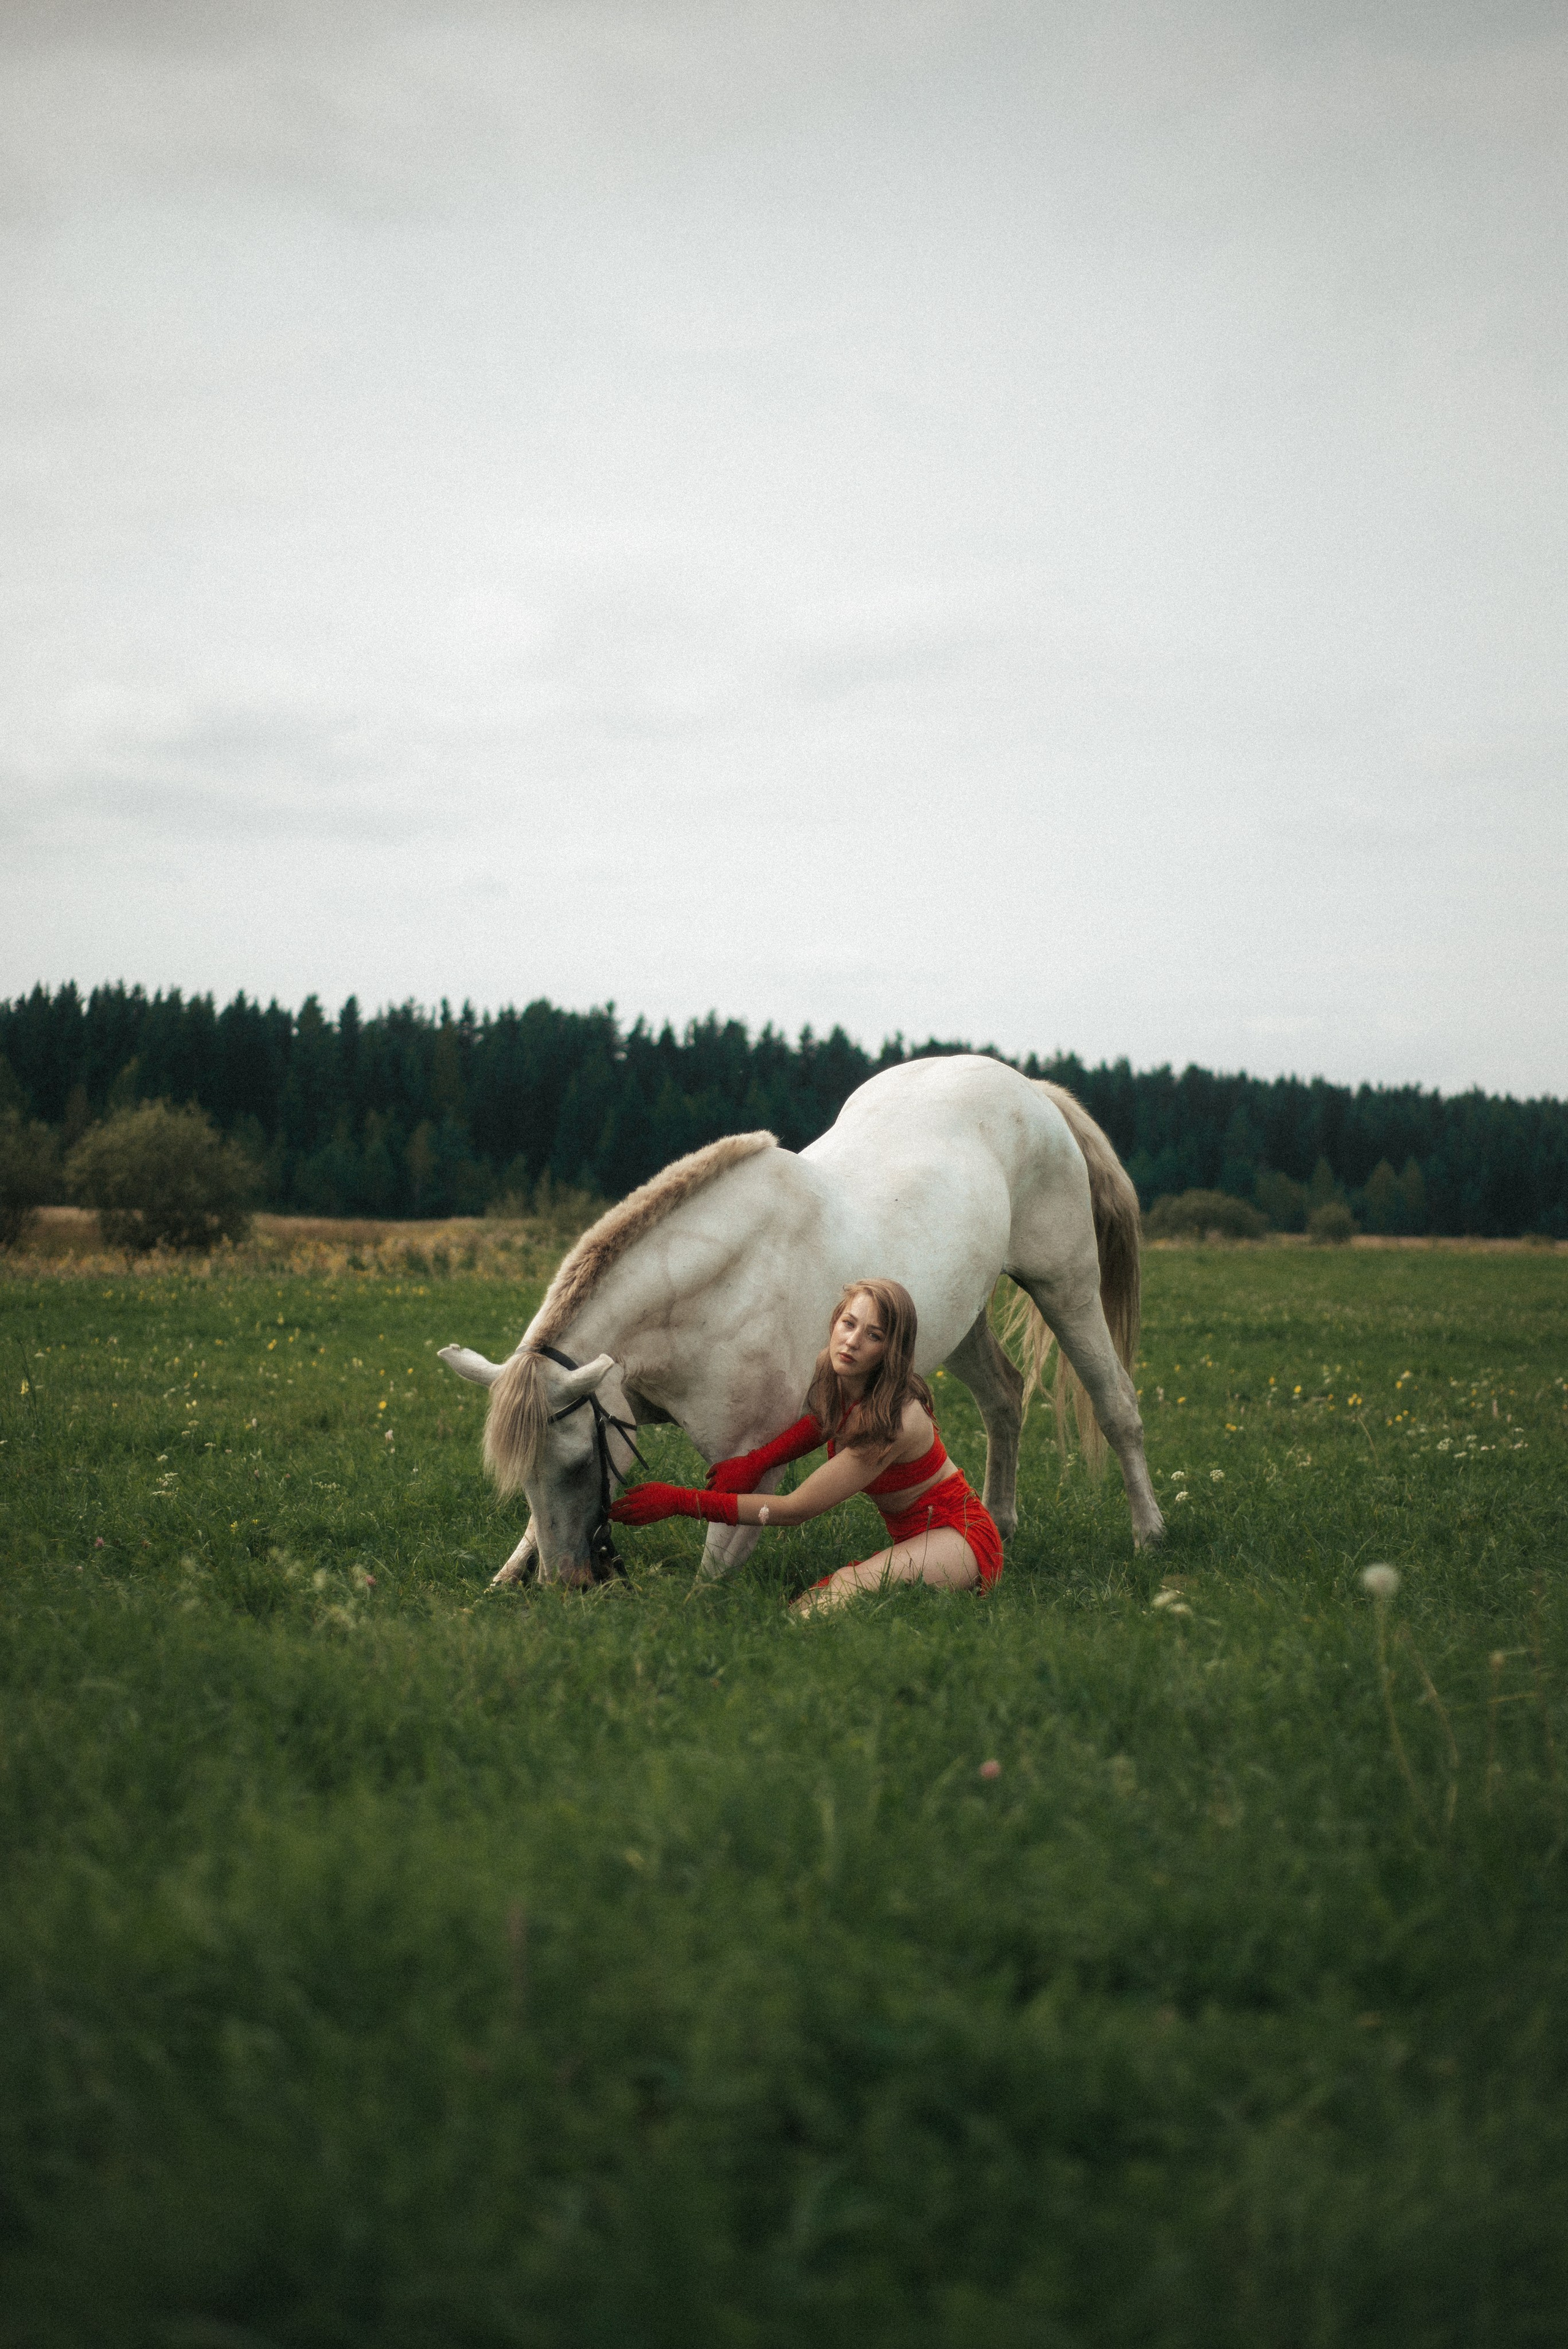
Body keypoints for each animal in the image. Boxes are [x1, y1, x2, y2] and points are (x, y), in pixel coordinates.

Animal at [438, 1053, 1164, 1585]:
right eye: (522, 1475)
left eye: (575, 1465)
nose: (568, 1583)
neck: (713, 1292)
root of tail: (1029, 1087)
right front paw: (505, 1580)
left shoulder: (751, 1466)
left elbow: (710, 1578)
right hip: (957, 1318)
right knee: (1004, 1400)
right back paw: (1003, 1522)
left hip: (1066, 1287)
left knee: (1116, 1406)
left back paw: (1149, 1533)